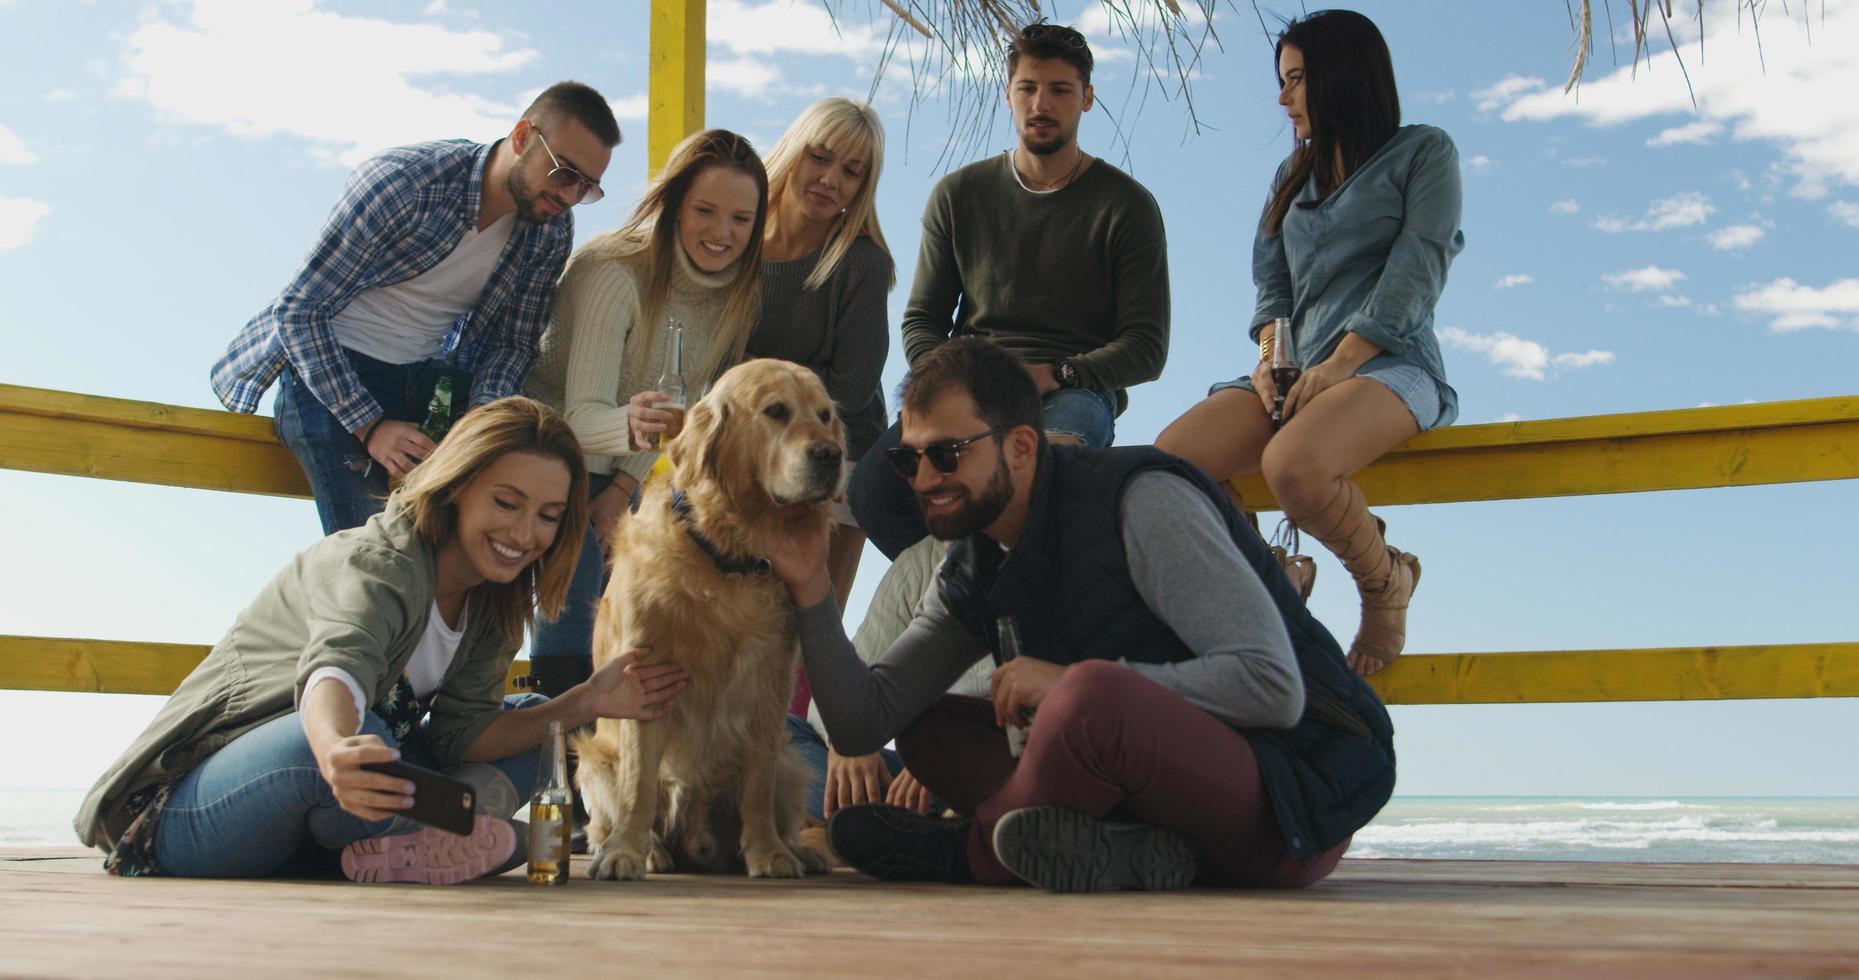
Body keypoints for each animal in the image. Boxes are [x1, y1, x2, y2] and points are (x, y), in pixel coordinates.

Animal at [576, 360, 847, 881]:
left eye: (825, 416)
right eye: (776, 411)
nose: (832, 454)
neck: (727, 557)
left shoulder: (770, 682)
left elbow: (757, 788)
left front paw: (768, 853)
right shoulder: (645, 675)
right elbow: (639, 785)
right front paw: (626, 852)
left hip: (791, 761)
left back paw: (798, 851)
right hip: (593, 761)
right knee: (610, 813)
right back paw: (643, 849)